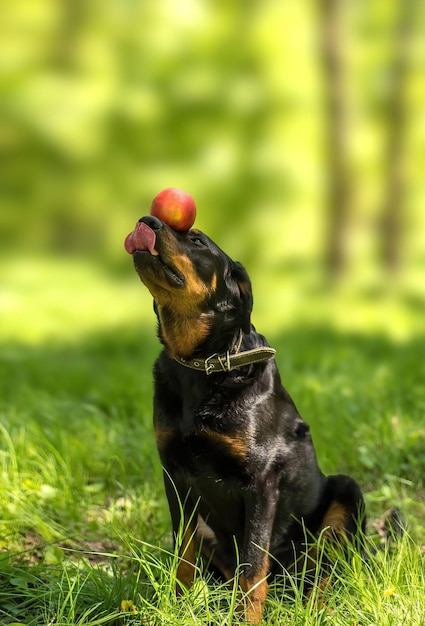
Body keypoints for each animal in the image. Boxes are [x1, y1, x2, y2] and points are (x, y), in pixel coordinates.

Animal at [125, 213, 364, 620]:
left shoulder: (261, 481)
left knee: (324, 570)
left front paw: (245, 620)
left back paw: (317, 609)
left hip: (346, 496)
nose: (147, 219)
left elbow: (252, 569)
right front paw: (178, 607)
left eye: (197, 240)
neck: (204, 365)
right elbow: (183, 554)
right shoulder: (174, 473)